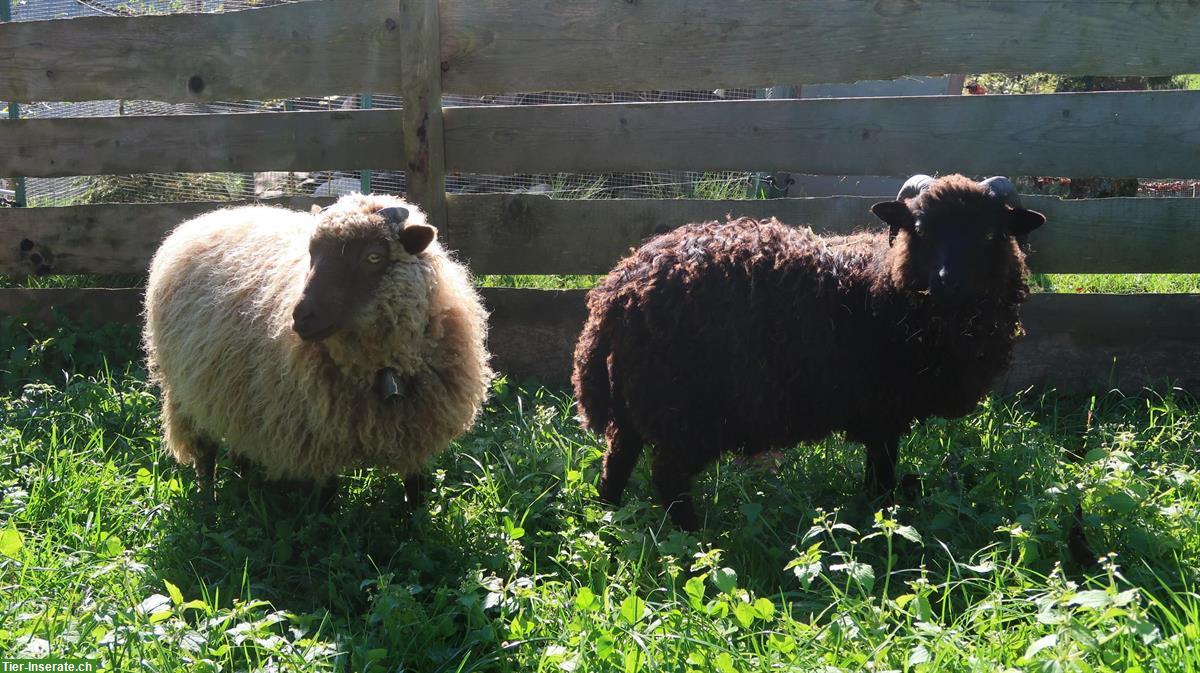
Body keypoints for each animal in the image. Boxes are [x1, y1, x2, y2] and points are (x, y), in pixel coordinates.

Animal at [571, 173, 1041, 530]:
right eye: (922, 229)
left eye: (990, 233)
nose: (949, 282)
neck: (883, 285)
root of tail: (617, 289)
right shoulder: (883, 410)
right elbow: (883, 471)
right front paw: (882, 517)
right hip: (679, 408)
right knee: (668, 479)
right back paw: (693, 539)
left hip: (635, 399)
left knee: (617, 460)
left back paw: (606, 519)